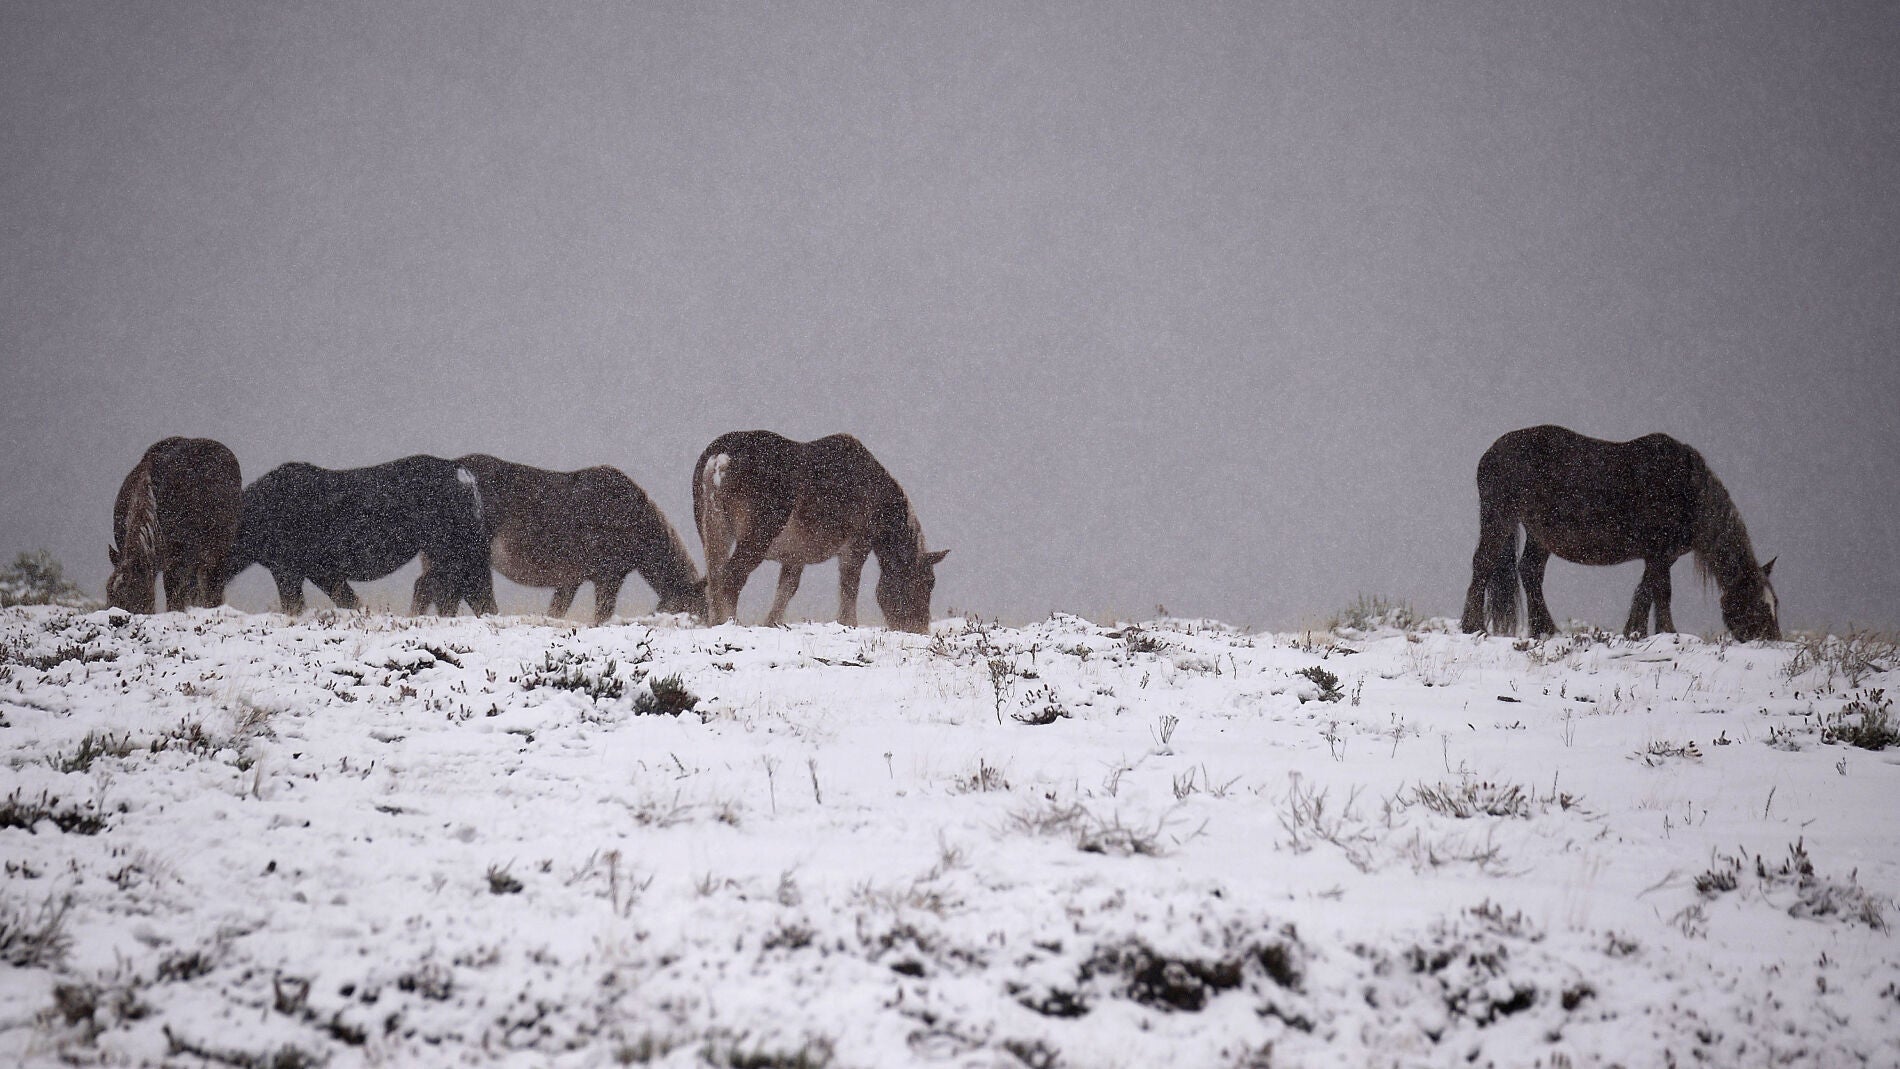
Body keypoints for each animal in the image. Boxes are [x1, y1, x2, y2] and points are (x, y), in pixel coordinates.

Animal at [106, 437, 242, 613]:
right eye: (108, 593)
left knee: (211, 587)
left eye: (132, 594)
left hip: (216, 552)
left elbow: (173, 590)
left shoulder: (176, 557)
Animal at [225, 456, 496, 616]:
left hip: (455, 550)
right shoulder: (321, 571)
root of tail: (464, 475)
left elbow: (295, 607)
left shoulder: (287, 569)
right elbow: (349, 601)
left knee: (460, 590)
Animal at [693, 431, 948, 633]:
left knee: (715, 580)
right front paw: (848, 624)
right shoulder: (856, 547)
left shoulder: (795, 557)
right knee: (731, 579)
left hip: (714, 536)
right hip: (755, 539)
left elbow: (786, 590)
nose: (920, 630)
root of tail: (720, 458)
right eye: (927, 582)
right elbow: (849, 588)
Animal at [1458, 425, 1780, 641]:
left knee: (1530, 571)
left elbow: (1645, 591)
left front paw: (1635, 632)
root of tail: (1490, 453)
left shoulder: (1661, 556)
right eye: (1757, 605)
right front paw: (1668, 633)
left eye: (1775, 603)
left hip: (1539, 535)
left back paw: (1545, 630)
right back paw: (1473, 627)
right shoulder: (1659, 553)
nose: (1772, 641)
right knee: (1483, 564)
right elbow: (1662, 592)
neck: (1687, 488)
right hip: (1500, 518)